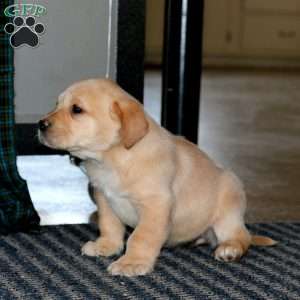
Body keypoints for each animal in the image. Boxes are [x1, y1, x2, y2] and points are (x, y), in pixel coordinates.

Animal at [38, 79, 276, 276]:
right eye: (56, 104)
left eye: (76, 109)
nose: (40, 124)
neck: (114, 159)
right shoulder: (104, 199)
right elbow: (109, 226)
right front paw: (106, 246)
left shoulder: (156, 205)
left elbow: (140, 237)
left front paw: (132, 262)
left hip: (228, 210)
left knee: (242, 236)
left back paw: (230, 249)